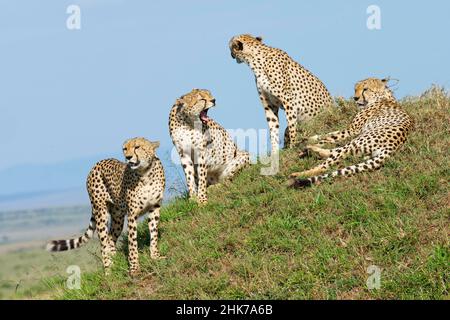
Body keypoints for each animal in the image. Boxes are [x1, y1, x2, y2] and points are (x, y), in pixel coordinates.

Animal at [46, 138, 165, 276]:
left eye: (137, 147)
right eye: (125, 149)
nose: (128, 157)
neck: (145, 173)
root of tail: (97, 164)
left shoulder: (154, 208)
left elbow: (154, 233)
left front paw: (155, 256)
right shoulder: (132, 214)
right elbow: (132, 243)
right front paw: (134, 268)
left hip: (118, 217)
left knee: (110, 238)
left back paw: (115, 262)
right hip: (101, 213)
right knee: (103, 243)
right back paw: (108, 270)